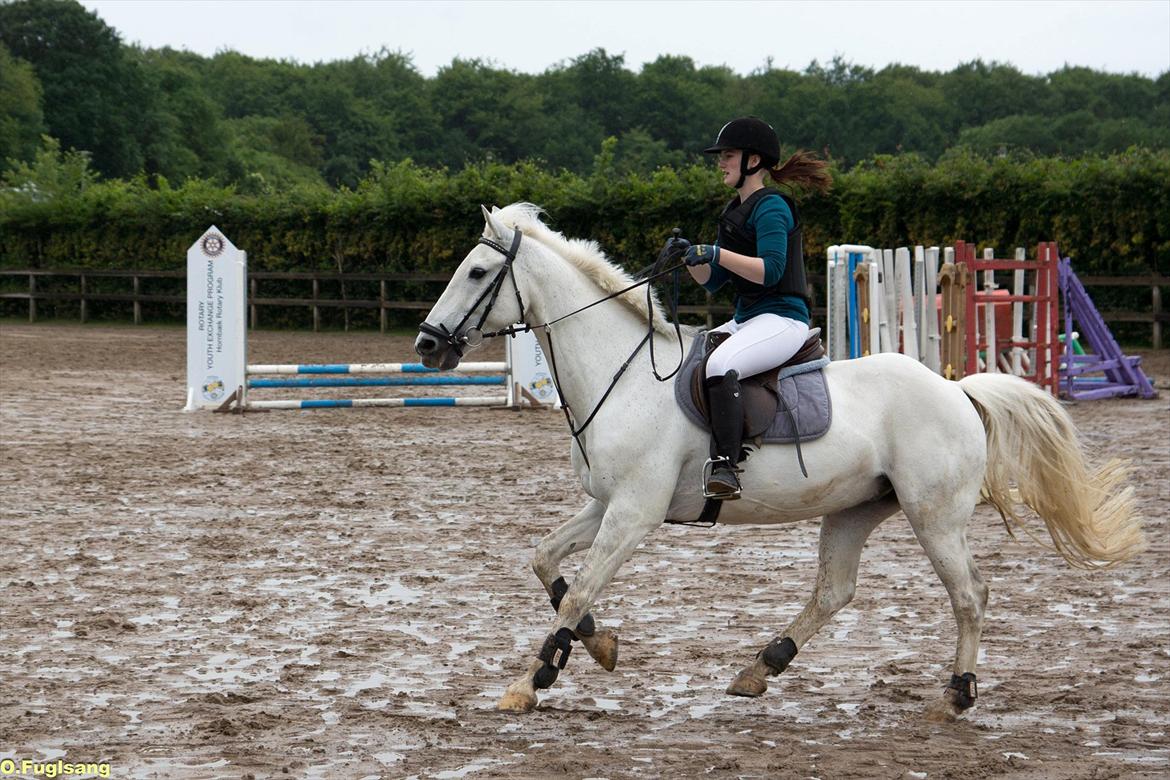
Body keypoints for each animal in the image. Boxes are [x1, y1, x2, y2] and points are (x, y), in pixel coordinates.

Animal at [414, 203, 1141, 720]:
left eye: (476, 273)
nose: (426, 345)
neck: (622, 374)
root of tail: (957, 389)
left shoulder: (634, 512)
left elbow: (580, 587)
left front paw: (530, 681)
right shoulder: (606, 504)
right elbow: (546, 563)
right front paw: (599, 644)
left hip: (932, 515)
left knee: (970, 594)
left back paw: (957, 693)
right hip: (855, 509)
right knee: (834, 591)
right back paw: (760, 668)